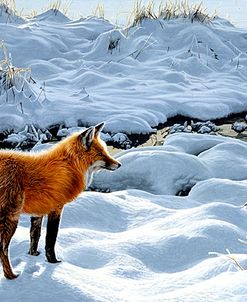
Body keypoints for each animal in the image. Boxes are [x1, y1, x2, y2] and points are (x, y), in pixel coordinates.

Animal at [0, 122, 120, 278]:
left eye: (106, 151)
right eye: (100, 154)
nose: (119, 164)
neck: (68, 167)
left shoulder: (38, 212)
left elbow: (35, 237)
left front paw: (33, 256)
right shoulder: (56, 208)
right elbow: (51, 239)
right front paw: (53, 262)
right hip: (11, 217)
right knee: (3, 248)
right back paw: (11, 275)